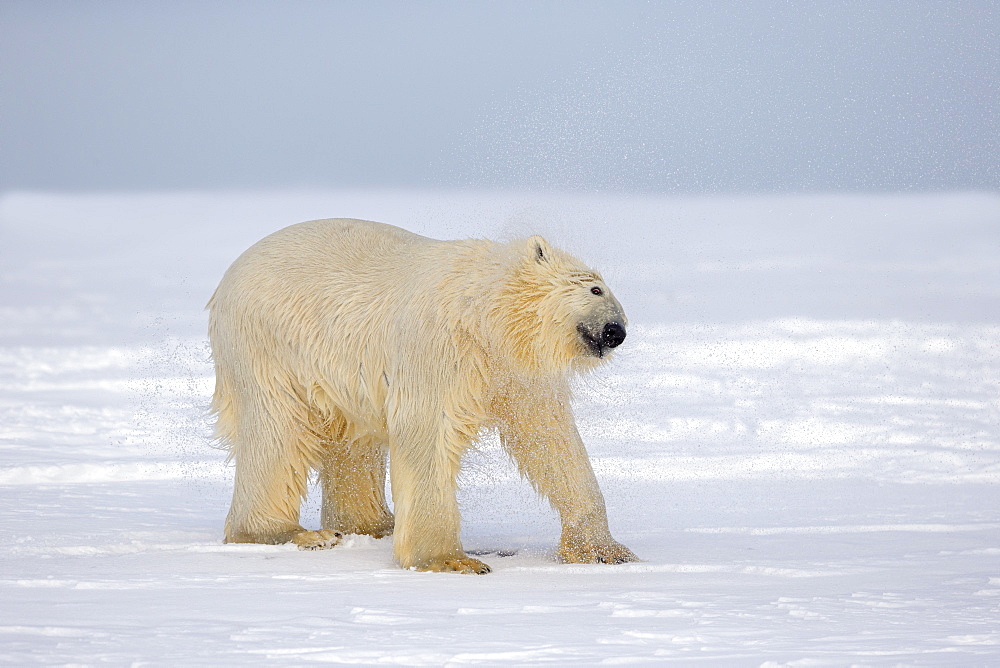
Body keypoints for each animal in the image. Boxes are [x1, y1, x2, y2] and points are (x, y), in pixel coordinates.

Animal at [207, 219, 636, 576]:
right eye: (595, 288)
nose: (616, 331)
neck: (483, 313)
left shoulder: (514, 371)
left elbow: (550, 440)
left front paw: (603, 550)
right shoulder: (439, 348)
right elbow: (429, 432)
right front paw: (452, 560)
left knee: (353, 441)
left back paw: (373, 525)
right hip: (270, 346)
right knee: (278, 434)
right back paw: (296, 533)